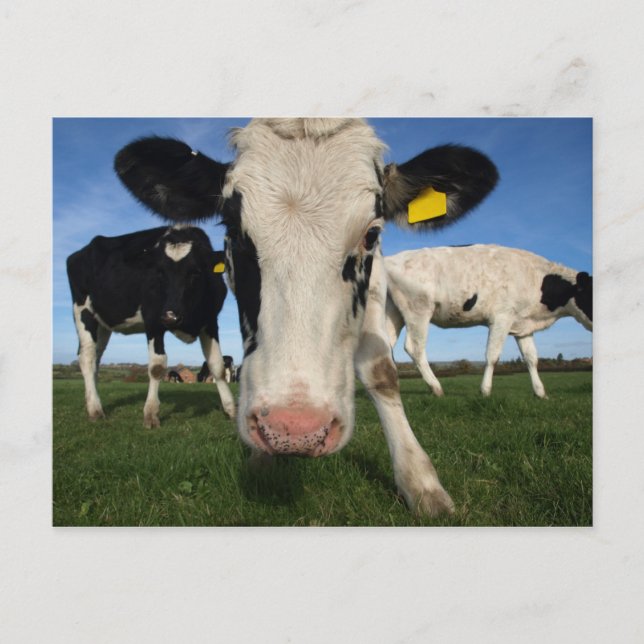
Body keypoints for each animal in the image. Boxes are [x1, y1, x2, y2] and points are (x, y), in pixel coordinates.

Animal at [66, 225, 236, 427]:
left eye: (195, 272)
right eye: (159, 272)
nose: (170, 317)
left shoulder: (210, 321)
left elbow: (217, 365)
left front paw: (231, 410)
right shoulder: (153, 319)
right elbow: (157, 366)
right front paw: (151, 414)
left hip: (103, 324)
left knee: (96, 359)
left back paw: (94, 402)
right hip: (83, 311)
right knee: (87, 357)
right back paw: (95, 410)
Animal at [113, 118, 498, 516]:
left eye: (372, 234)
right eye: (232, 229)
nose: (293, 431)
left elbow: (381, 372)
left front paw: (421, 482)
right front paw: (261, 460)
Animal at [384, 244, 593, 398]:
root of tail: (391, 259)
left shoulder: (523, 325)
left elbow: (532, 358)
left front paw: (540, 393)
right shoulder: (501, 318)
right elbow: (493, 355)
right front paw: (485, 391)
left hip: (394, 312)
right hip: (418, 310)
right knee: (415, 348)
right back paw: (436, 388)